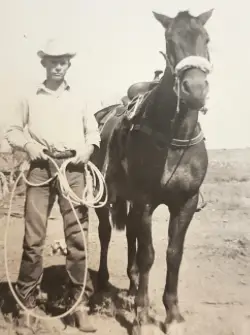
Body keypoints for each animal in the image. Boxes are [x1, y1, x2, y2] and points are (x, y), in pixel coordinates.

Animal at [93, 8, 214, 335]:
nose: (195, 89)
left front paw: (172, 314)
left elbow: (173, 254)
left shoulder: (184, 203)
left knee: (131, 235)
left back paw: (133, 283)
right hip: (106, 199)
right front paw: (141, 315)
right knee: (106, 234)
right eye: (169, 40)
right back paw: (101, 285)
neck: (174, 138)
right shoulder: (145, 201)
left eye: (206, 38)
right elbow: (149, 255)